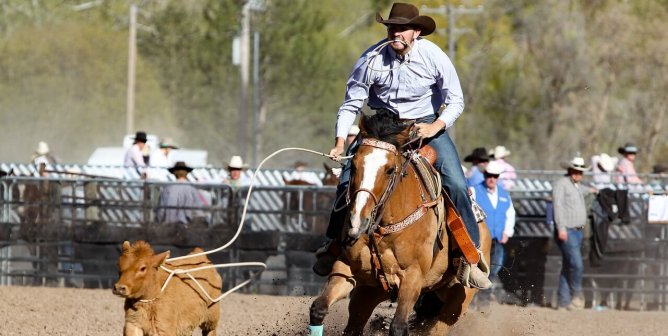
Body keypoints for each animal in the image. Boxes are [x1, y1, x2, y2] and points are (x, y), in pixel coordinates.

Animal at [308, 113, 490, 336]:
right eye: (354, 166)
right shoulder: (346, 268)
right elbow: (319, 307)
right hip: (370, 292)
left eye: (389, 170)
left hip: (456, 303)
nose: (358, 220)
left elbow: (398, 327)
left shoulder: (413, 278)